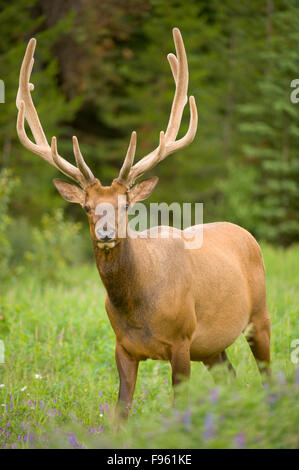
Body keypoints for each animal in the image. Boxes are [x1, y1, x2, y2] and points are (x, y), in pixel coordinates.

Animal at [16, 28, 272, 418]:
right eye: (87, 207)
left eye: (125, 204)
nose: (106, 233)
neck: (139, 309)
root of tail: (244, 232)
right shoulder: (123, 347)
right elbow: (121, 412)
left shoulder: (182, 340)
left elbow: (178, 406)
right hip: (212, 346)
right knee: (231, 377)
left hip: (259, 316)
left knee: (268, 373)